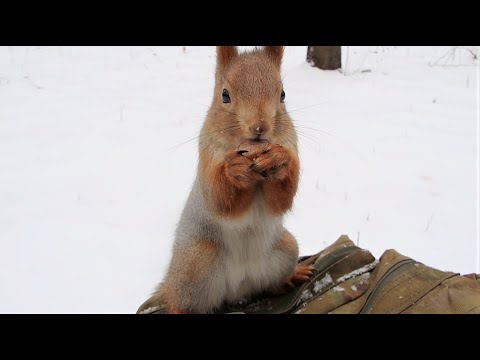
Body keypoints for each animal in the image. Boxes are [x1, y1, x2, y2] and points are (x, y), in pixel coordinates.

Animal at [144, 47, 314, 312]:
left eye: (283, 94)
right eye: (224, 95)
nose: (259, 127)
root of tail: (237, 289)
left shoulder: (290, 144)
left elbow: (280, 200)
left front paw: (279, 160)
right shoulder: (208, 156)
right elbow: (221, 199)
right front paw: (234, 169)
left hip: (286, 249)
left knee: (270, 284)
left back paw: (291, 278)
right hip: (195, 265)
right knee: (179, 301)